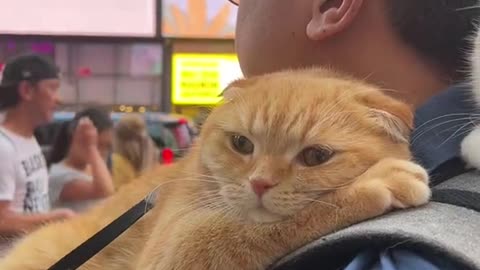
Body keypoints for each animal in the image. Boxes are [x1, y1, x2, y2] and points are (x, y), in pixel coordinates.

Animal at [0, 68, 430, 268]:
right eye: (241, 144)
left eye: (315, 157)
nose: (260, 184)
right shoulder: (173, 254)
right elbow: (244, 230)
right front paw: (378, 181)